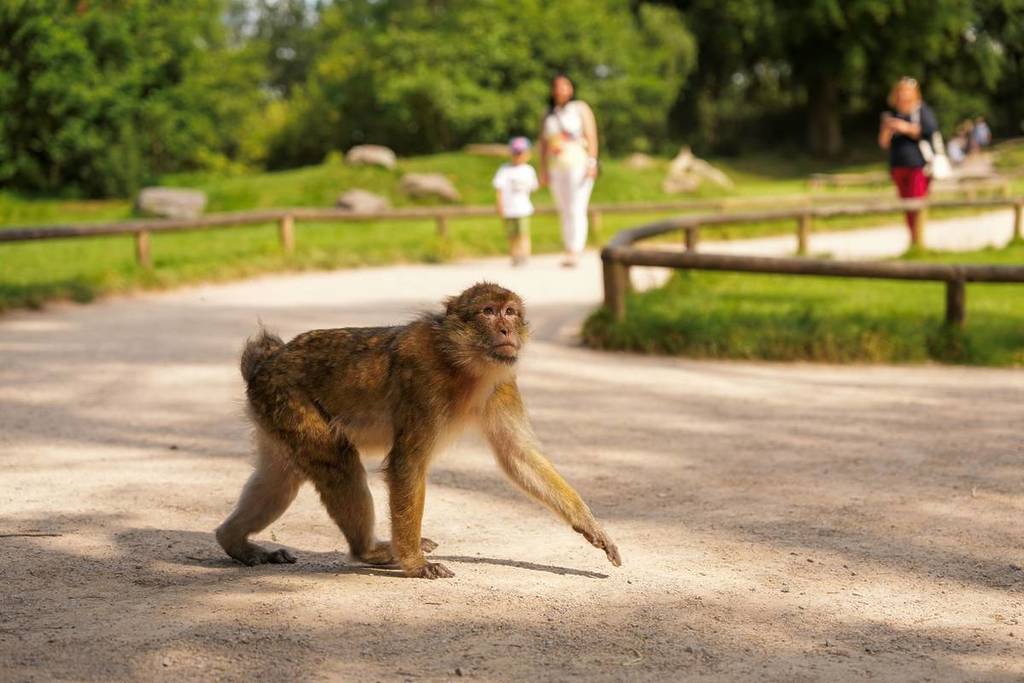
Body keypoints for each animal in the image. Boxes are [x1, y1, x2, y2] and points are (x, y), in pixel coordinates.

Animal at [215, 282, 621, 579]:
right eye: (488, 312)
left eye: (510, 312)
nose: (507, 329)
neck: (463, 365)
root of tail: (265, 362)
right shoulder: (423, 385)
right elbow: (406, 464)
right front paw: (413, 563)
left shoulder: (502, 385)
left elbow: (518, 456)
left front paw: (590, 524)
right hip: (286, 398)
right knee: (337, 461)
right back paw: (372, 551)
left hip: (272, 412)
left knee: (281, 478)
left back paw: (233, 540)